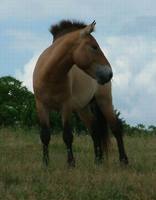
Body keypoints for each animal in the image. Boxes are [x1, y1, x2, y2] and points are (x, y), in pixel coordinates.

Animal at [33, 19, 128, 167]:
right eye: (94, 47)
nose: (109, 73)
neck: (51, 76)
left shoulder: (65, 107)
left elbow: (67, 135)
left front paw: (71, 163)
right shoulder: (41, 106)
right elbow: (45, 136)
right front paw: (45, 164)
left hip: (104, 101)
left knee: (116, 128)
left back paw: (123, 160)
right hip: (83, 109)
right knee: (95, 131)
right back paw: (98, 161)